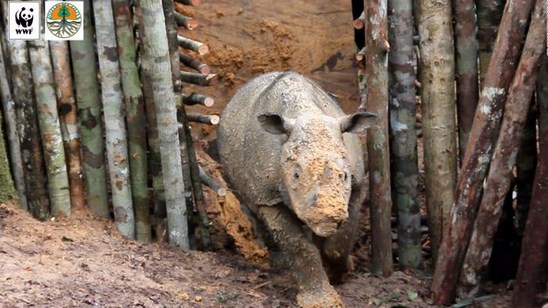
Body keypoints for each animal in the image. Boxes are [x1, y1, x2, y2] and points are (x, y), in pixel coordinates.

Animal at [218, 71, 376, 306]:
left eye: (345, 175)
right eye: (296, 175)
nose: (327, 218)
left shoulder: (357, 186)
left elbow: (339, 244)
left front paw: (340, 274)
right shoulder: (268, 196)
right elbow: (297, 244)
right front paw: (320, 300)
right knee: (249, 205)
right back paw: (276, 262)